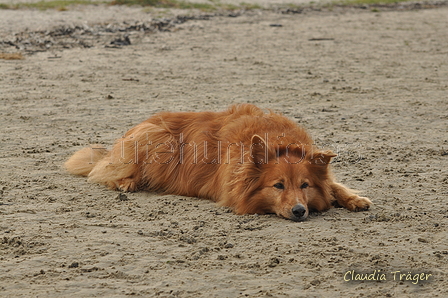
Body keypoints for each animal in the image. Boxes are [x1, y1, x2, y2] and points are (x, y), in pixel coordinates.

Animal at [64, 103, 372, 220]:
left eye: (305, 185)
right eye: (278, 186)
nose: (299, 211)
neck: (277, 141)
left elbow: (334, 185)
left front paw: (354, 198)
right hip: (156, 140)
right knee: (103, 172)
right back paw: (125, 182)